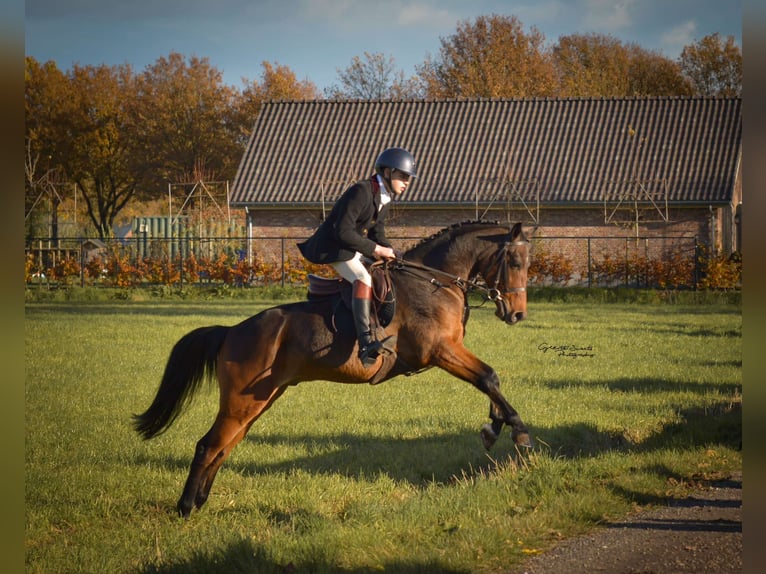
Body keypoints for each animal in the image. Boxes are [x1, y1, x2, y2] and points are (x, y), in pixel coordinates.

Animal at [133, 220, 533, 518]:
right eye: (515, 263)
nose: (517, 315)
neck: (436, 281)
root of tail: (231, 331)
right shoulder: (441, 351)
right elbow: (489, 376)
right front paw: (517, 431)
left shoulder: (450, 352)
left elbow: (489, 380)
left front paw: (493, 427)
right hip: (241, 402)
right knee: (209, 445)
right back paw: (186, 506)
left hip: (259, 399)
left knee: (225, 445)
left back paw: (200, 501)